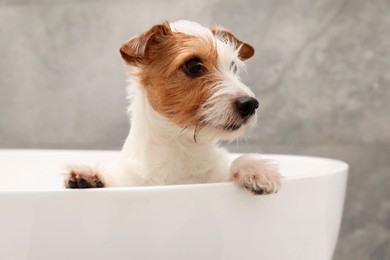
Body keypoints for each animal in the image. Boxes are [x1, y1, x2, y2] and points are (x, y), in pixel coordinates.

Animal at [65, 19, 282, 195]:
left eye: (233, 67)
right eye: (193, 65)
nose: (250, 104)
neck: (181, 146)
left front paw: (254, 169)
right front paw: (90, 179)